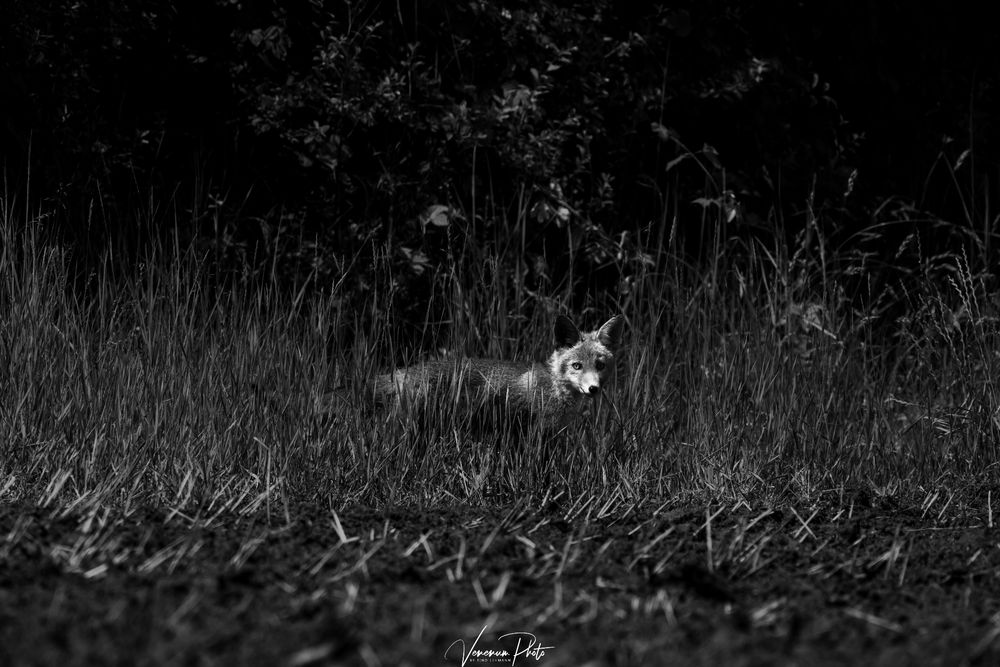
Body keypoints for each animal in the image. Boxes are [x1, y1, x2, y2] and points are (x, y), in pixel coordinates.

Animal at [372, 315, 625, 428]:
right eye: (577, 366)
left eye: (600, 365)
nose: (593, 388)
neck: (555, 388)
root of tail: (405, 371)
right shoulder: (540, 429)